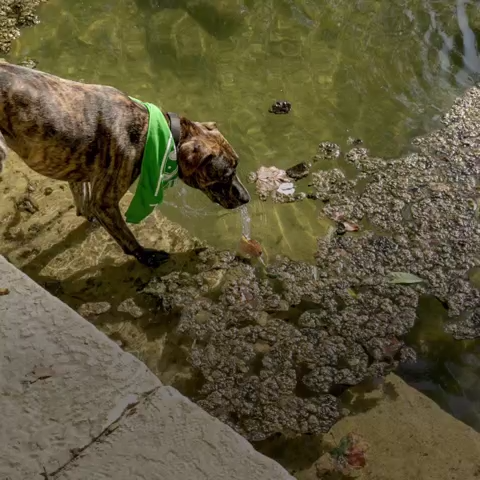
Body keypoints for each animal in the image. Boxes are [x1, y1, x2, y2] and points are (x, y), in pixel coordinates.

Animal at [0, 61, 251, 266]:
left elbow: (83, 202)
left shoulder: (78, 172)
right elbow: (126, 235)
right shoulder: (106, 200)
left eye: (237, 165)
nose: (247, 198)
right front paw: (145, 255)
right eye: (226, 174)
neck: (147, 127)